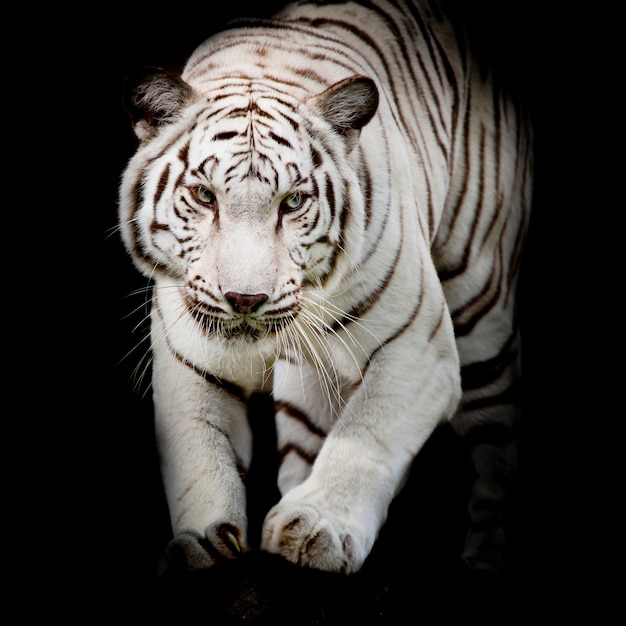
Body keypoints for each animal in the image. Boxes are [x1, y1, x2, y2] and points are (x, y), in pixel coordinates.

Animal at [118, 0, 532, 576]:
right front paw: (202, 544)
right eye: (203, 196)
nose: (245, 299)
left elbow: (366, 434)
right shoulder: (190, 358)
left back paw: (486, 561)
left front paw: (318, 530)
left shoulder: (418, 346)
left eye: (293, 202)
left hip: (481, 313)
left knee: (497, 452)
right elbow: (201, 454)